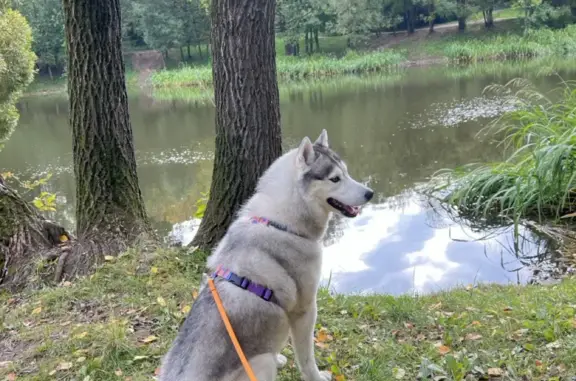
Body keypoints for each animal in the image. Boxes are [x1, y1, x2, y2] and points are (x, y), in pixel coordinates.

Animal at [159, 129, 374, 378]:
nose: (370, 193)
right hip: (261, 363)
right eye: (335, 179)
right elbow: (307, 358)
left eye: (346, 173)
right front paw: (317, 377)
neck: (281, 223)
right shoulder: (305, 309)